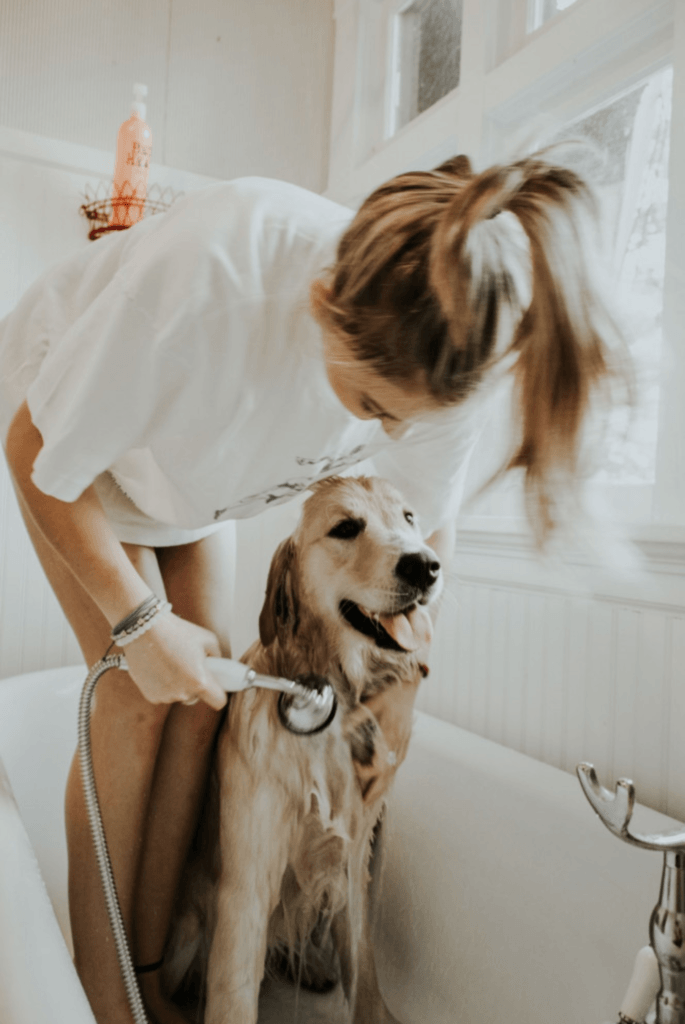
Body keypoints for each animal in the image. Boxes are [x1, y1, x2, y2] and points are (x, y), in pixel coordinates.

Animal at [165, 477, 444, 1024]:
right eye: (346, 527)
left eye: (408, 518)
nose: (425, 565)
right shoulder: (247, 882)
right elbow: (232, 993)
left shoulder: (354, 860)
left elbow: (363, 967)